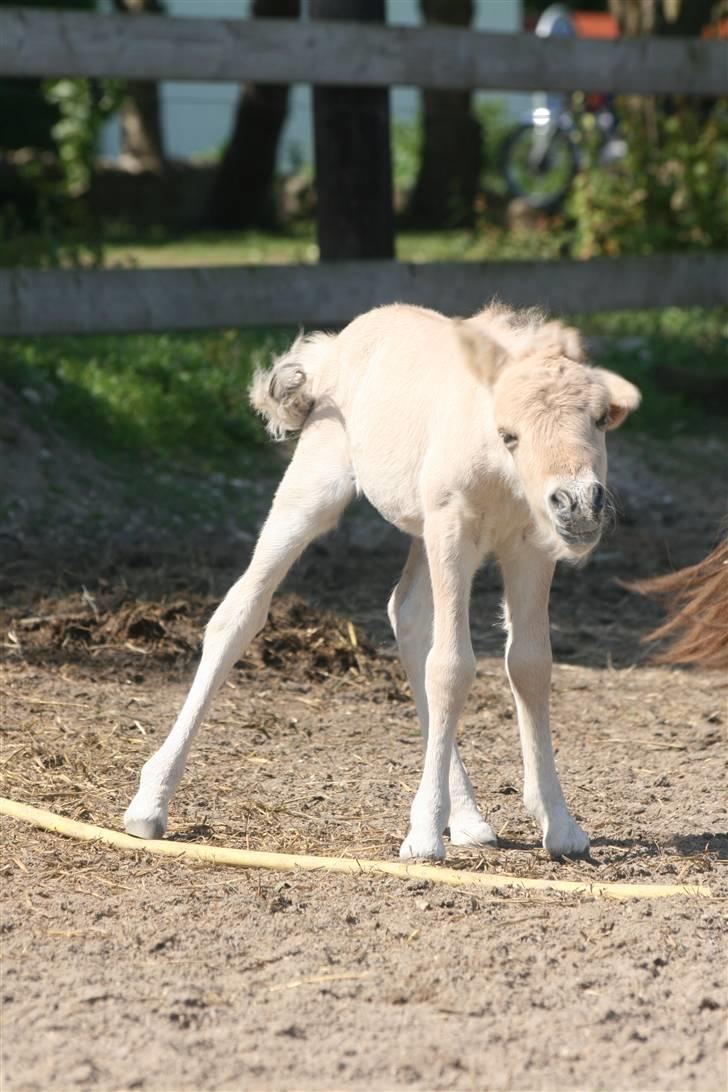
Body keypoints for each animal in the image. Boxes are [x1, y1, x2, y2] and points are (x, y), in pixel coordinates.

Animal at [123, 301, 637, 860]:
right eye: (510, 433)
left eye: (598, 421)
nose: (579, 504)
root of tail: (335, 346)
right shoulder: (453, 528)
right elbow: (452, 667)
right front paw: (423, 836)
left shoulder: (530, 545)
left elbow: (530, 665)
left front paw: (560, 825)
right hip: (315, 488)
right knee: (241, 610)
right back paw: (149, 804)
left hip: (424, 529)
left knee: (407, 614)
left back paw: (467, 817)